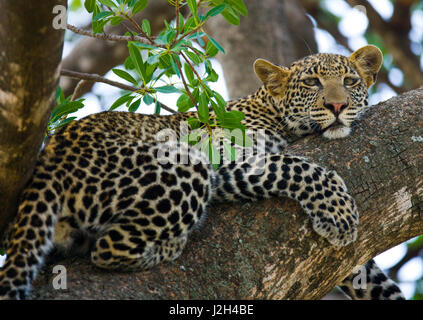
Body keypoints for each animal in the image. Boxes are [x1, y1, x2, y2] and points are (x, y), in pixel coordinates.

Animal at [0, 45, 404, 300]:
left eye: (350, 82)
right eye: (311, 83)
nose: (337, 106)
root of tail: (50, 157)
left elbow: (367, 274)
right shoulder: (223, 158)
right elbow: (294, 165)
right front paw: (338, 212)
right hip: (182, 164)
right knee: (107, 250)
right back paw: (168, 246)